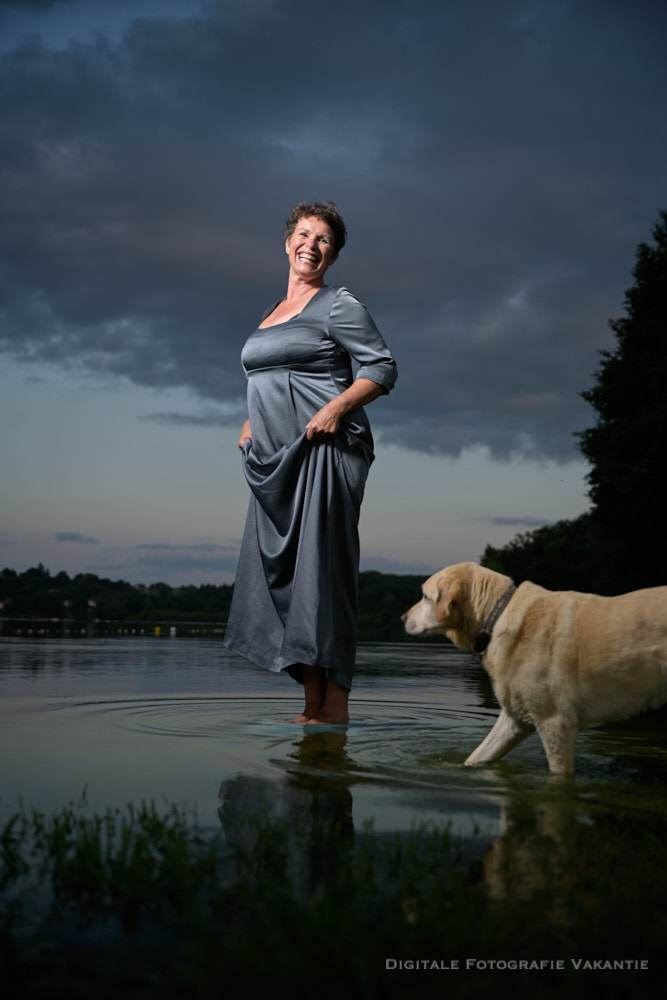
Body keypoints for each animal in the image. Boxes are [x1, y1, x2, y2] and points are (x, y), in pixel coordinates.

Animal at [402, 564, 667, 772]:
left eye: (425, 596)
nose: (403, 618)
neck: (495, 617)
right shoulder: (515, 720)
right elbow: (475, 757)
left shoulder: (556, 724)